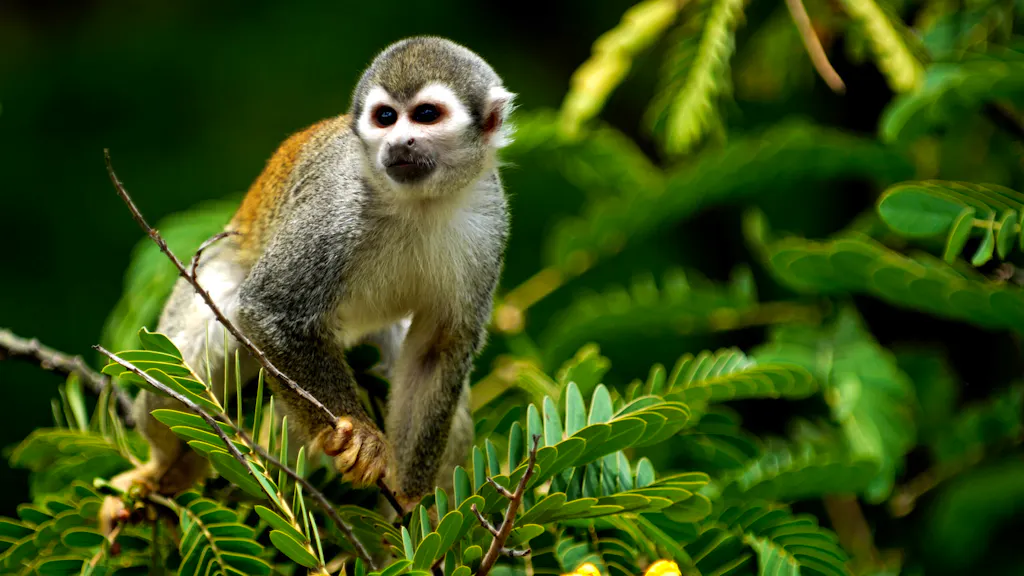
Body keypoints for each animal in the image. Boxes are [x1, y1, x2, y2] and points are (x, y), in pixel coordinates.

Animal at [100, 36, 514, 531]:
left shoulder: (487, 219)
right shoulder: (335, 206)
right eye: (386, 117)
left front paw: (412, 502)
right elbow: (271, 307)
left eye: (427, 114)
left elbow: (439, 348)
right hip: (213, 272)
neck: (418, 201)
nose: (399, 141)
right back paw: (167, 466)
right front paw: (363, 442)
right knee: (195, 352)